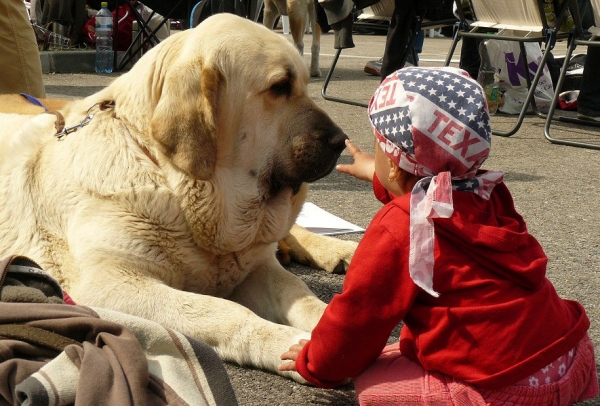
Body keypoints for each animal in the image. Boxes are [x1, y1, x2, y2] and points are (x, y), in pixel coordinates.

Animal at [0, 12, 356, 380]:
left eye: (302, 84)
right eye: (279, 87)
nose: (341, 141)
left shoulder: (257, 269)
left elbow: (301, 294)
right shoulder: (110, 285)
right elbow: (225, 311)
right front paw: (286, 344)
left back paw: (339, 249)